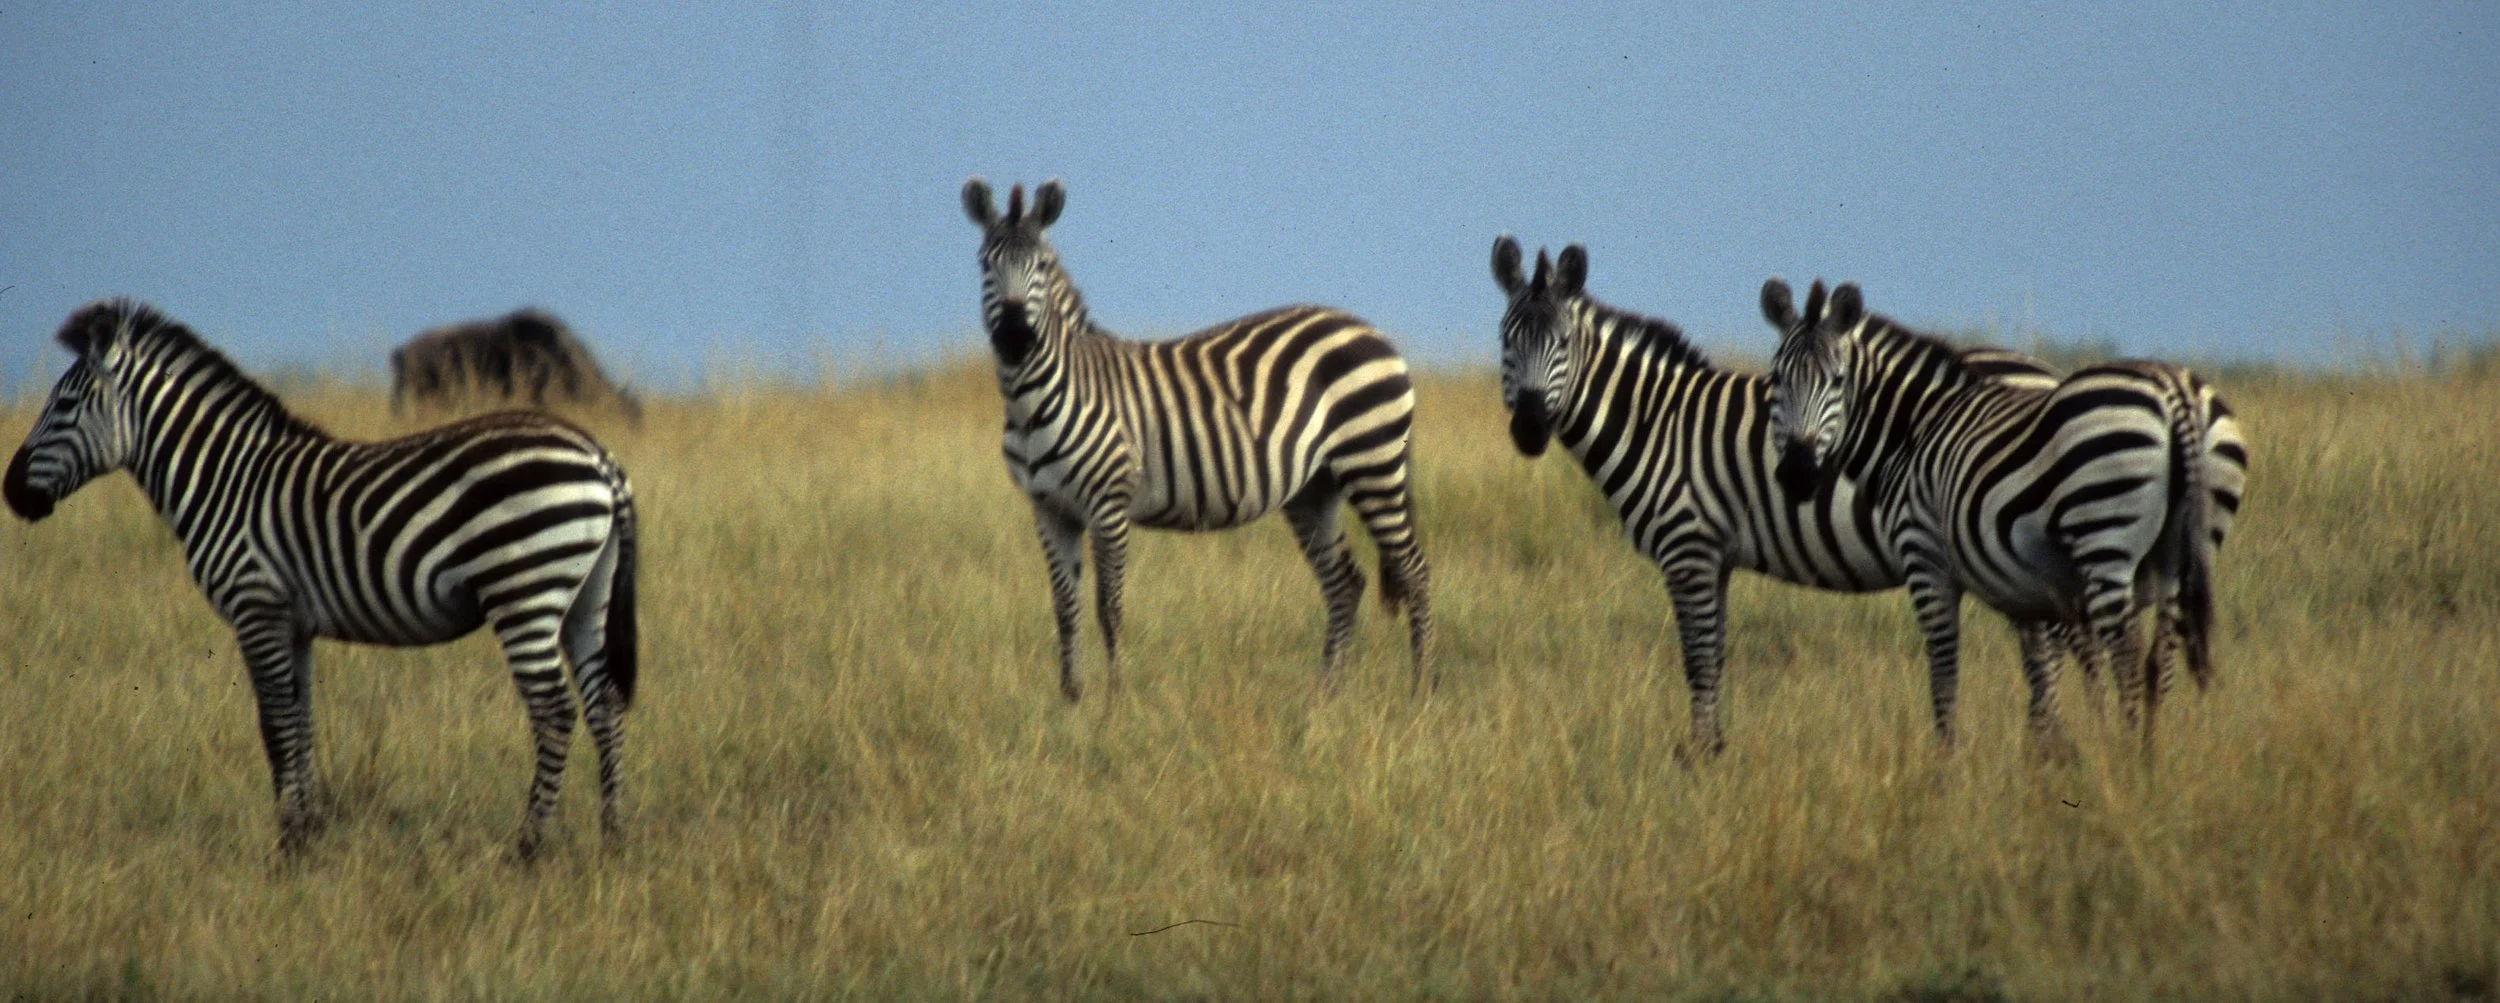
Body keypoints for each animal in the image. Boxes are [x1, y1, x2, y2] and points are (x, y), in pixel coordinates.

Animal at [4, 300, 638, 857]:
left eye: (63, 403)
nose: (10, 492)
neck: (224, 480)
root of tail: (599, 456)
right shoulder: (295, 623)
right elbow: (301, 720)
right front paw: (308, 832)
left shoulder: (256, 606)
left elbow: (274, 724)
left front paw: (287, 844)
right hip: (585, 599)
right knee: (602, 705)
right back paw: (611, 839)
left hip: (523, 592)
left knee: (554, 713)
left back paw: (528, 847)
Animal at [962, 178, 1433, 700]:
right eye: (985, 263)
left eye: (1041, 266)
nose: (1014, 338)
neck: (1035, 401)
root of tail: (1371, 330)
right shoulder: (1049, 509)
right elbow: (1065, 609)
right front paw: (1071, 700)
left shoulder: (1108, 502)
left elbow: (1109, 607)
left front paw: (1114, 701)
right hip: (1315, 489)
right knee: (1345, 583)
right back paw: (1326, 695)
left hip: (1372, 463)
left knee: (1413, 571)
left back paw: (1420, 690)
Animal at [1492, 237, 2095, 758]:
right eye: (1505, 341)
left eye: (1562, 344)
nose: (1528, 429)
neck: (1656, 423)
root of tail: (2045, 373)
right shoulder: (1717, 557)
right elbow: (1716, 651)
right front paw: (1714, 749)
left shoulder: (1688, 547)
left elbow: (1697, 657)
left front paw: (1698, 756)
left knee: (2053, 644)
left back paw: (2054, 746)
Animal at [1760, 277, 2236, 754]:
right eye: (1776, 378)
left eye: (1837, 380)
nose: (1797, 472)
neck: (1912, 432)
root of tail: (2175, 393)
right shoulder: (2025, 582)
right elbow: (2038, 666)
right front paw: (2047, 751)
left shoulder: (1924, 557)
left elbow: (1944, 666)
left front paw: (1947, 758)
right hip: (2184, 553)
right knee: (2162, 655)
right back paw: (2148, 754)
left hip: (2104, 535)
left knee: (2128, 653)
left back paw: (2125, 755)